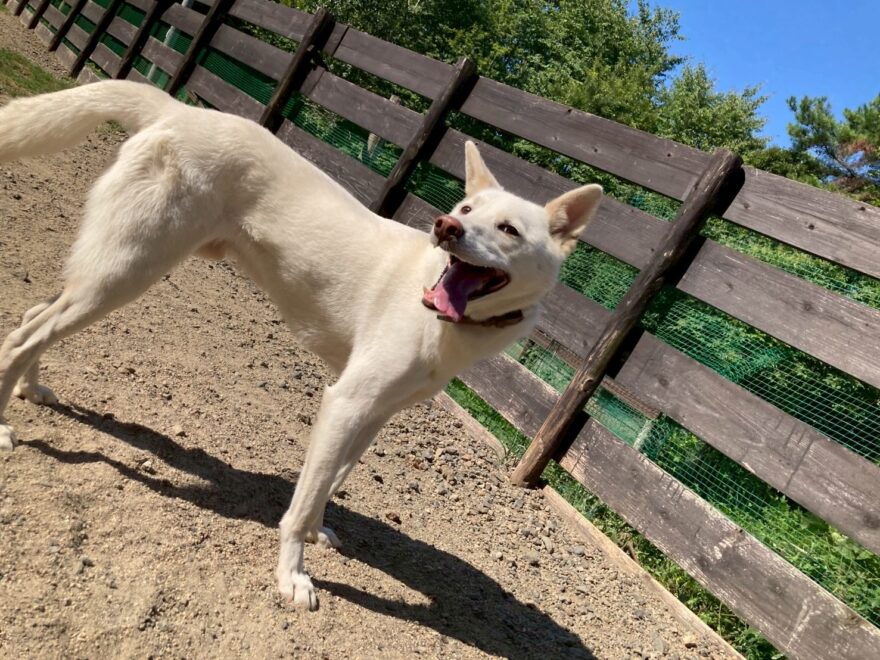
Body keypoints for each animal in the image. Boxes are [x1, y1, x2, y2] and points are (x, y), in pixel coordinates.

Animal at [0, 80, 602, 609]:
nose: (445, 227)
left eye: (509, 230)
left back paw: (32, 389)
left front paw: (316, 533)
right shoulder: (346, 402)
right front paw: (293, 574)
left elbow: (331, 481)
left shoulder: (374, 415)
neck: (442, 313)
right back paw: (5, 425)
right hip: (127, 272)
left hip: (108, 272)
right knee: (22, 335)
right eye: (466, 211)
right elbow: (305, 496)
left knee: (31, 317)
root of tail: (178, 110)